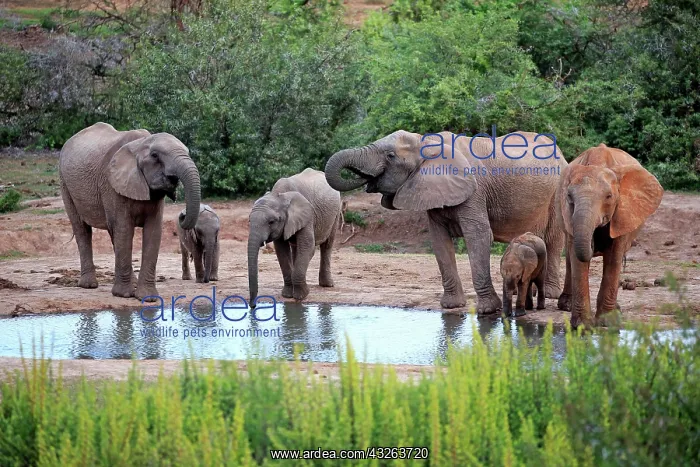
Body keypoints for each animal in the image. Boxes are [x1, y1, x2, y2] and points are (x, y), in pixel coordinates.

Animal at [59, 122, 201, 301]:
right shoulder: (112, 184)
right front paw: (124, 295)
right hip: (65, 184)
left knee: (112, 234)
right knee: (82, 229)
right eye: (155, 156)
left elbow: (153, 231)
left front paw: (148, 298)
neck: (140, 145)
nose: (182, 216)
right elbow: (125, 229)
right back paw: (89, 285)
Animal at [248, 168, 342, 304]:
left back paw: (327, 285)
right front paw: (287, 295)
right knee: (296, 248)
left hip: (336, 211)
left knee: (327, 245)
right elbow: (282, 251)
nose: (252, 306)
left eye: (271, 222)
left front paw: (301, 296)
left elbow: (308, 247)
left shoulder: (308, 215)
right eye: (249, 221)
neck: (280, 195)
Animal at [325, 130, 567, 314]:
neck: (427, 143)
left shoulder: (475, 192)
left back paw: (550, 293)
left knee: (554, 241)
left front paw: (488, 310)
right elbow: (439, 241)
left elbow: (478, 236)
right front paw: (451, 306)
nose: (366, 180)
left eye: (390, 156)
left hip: (557, 192)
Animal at [555, 144, 663, 328]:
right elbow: (578, 260)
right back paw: (567, 306)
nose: (594, 243)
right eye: (569, 196)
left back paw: (617, 310)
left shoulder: (622, 213)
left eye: (609, 196)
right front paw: (582, 326)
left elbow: (614, 256)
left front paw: (607, 322)